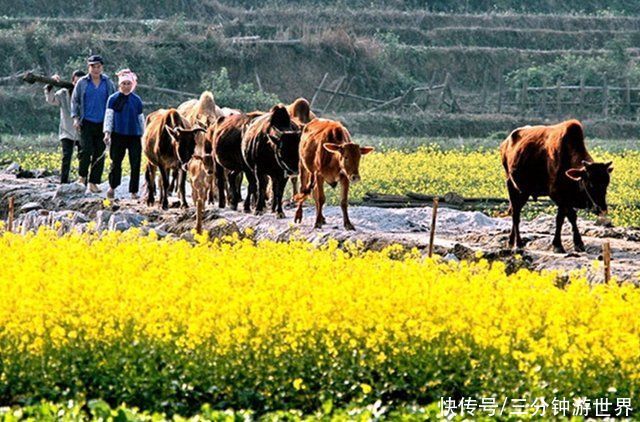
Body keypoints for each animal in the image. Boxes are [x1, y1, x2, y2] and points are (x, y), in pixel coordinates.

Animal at [500, 118, 616, 252]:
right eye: (590, 184)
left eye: (606, 183)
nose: (602, 209)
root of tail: (506, 142)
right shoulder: (558, 196)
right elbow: (565, 217)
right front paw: (560, 245)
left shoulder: (566, 199)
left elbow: (566, 217)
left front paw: (576, 243)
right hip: (512, 186)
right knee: (516, 214)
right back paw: (518, 243)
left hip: (524, 191)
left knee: (516, 211)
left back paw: (511, 241)